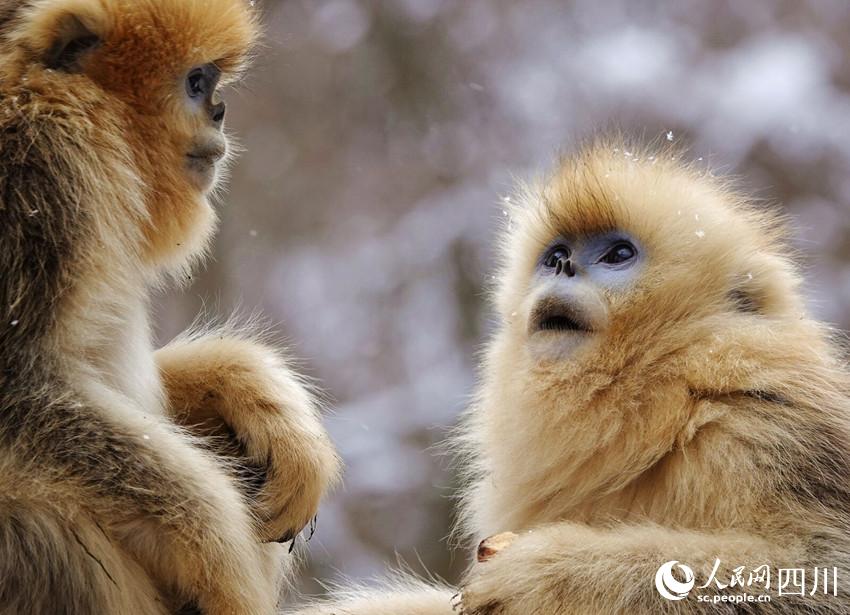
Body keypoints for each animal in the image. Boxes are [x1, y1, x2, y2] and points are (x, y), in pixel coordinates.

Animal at [0, 1, 338, 615]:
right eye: (196, 82)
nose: (221, 111)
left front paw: (254, 396)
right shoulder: (43, 164)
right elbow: (20, 393)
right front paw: (227, 571)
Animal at [294, 141, 848, 615]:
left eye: (618, 254)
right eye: (555, 255)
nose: (563, 268)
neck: (671, 393)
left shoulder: (765, 425)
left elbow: (821, 574)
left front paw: (543, 574)